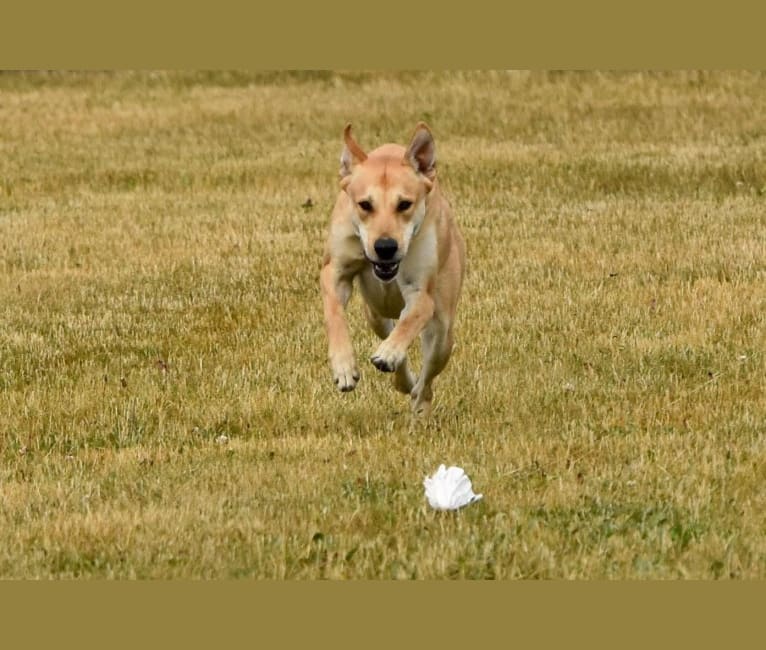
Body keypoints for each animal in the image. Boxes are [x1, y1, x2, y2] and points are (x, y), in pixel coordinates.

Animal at [320, 121, 464, 416]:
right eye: (364, 204)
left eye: (404, 204)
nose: (385, 246)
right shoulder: (335, 271)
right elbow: (334, 313)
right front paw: (343, 367)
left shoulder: (422, 291)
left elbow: (414, 315)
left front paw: (389, 353)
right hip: (375, 315)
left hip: (443, 333)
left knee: (426, 380)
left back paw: (418, 403)